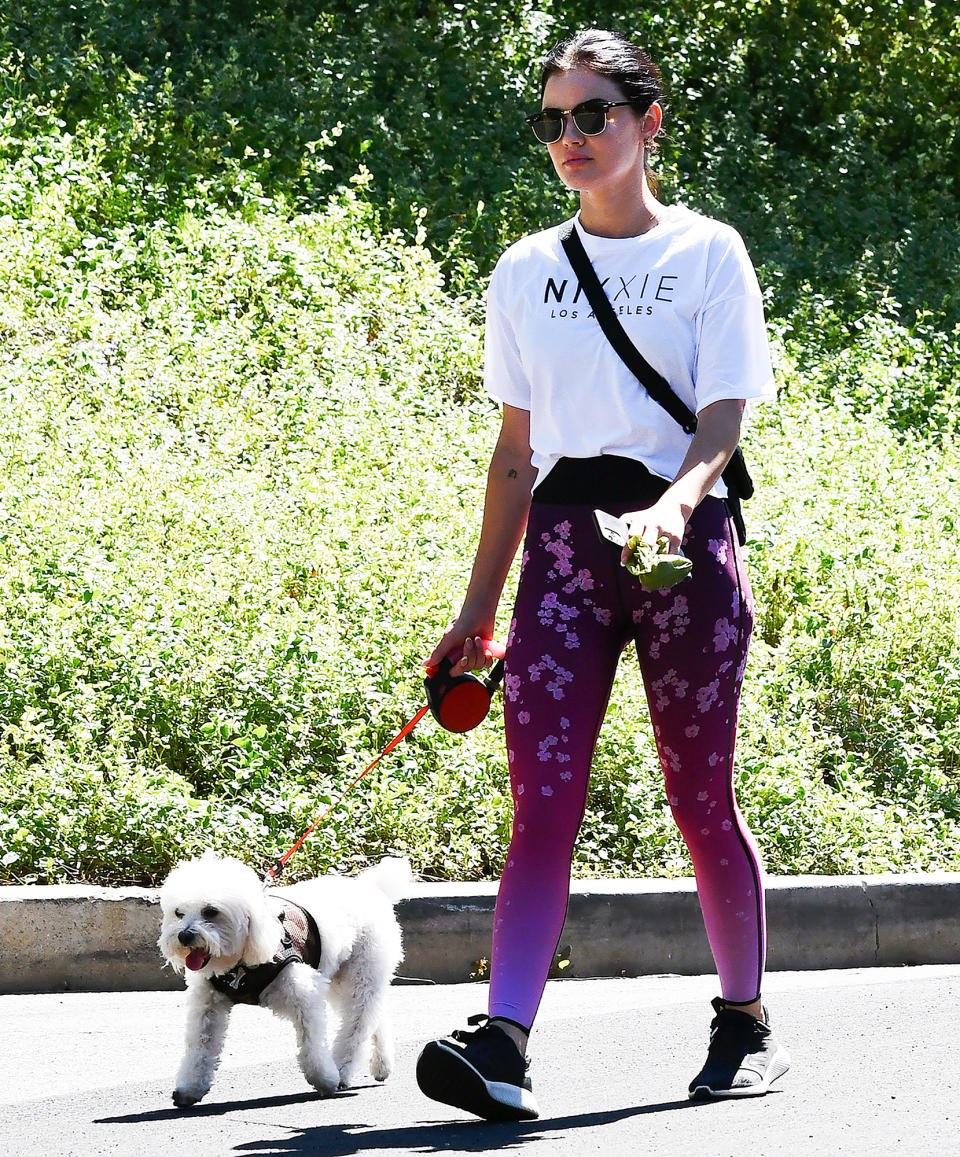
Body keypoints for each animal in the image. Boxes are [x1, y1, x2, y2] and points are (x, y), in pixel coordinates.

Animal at [157, 856, 409, 1106]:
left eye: (211, 911)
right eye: (178, 913)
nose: (184, 936)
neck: (240, 962)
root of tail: (370, 887)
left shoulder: (304, 997)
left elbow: (312, 1044)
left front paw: (325, 1079)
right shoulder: (208, 1006)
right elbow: (201, 1047)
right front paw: (190, 1087)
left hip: (362, 973)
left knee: (357, 1024)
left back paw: (341, 1070)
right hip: (342, 981)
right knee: (375, 1017)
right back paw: (382, 1065)